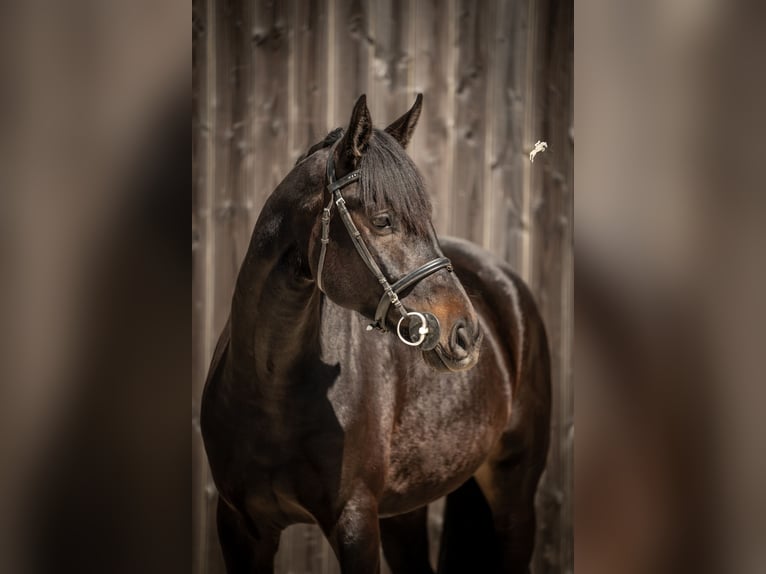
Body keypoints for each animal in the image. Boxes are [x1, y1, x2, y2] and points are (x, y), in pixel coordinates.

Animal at [201, 94, 551, 574]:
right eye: (383, 220)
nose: (465, 334)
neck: (270, 389)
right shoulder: (239, 526)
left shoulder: (355, 523)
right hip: (405, 508)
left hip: (515, 499)